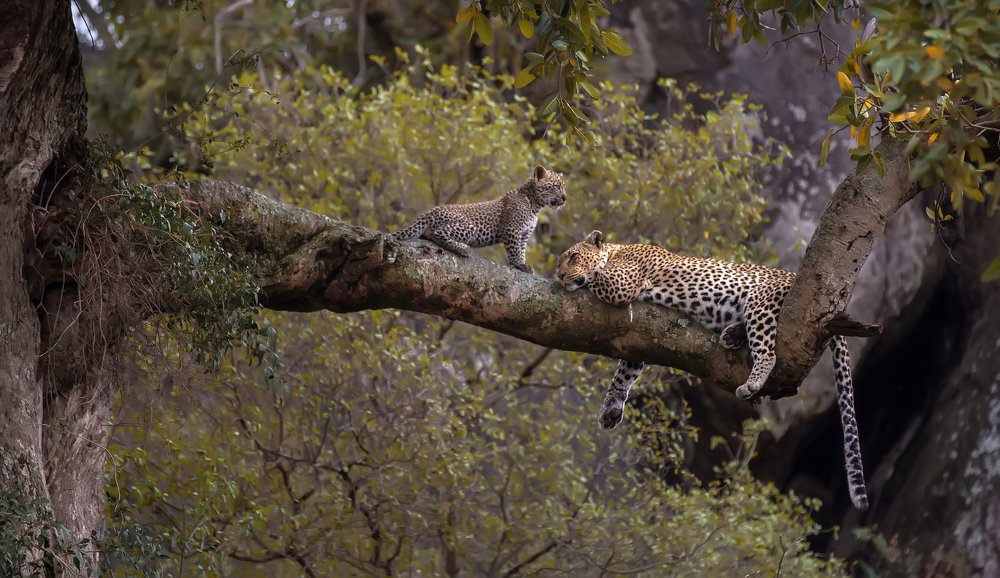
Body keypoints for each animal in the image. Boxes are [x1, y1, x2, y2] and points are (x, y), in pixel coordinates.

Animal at [391, 165, 567, 274]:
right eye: (556, 186)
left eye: (563, 187)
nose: (565, 198)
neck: (535, 205)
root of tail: (431, 210)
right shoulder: (512, 229)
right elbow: (514, 250)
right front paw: (518, 264)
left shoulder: (523, 235)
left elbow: (521, 250)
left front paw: (523, 264)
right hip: (469, 226)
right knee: (436, 233)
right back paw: (463, 248)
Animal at [556, 229, 869, 510]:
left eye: (572, 256)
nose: (559, 275)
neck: (616, 250)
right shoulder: (636, 338)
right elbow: (624, 373)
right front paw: (612, 407)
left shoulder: (622, 283)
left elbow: (595, 276)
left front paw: (575, 277)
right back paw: (732, 334)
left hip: (761, 302)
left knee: (768, 352)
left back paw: (752, 381)